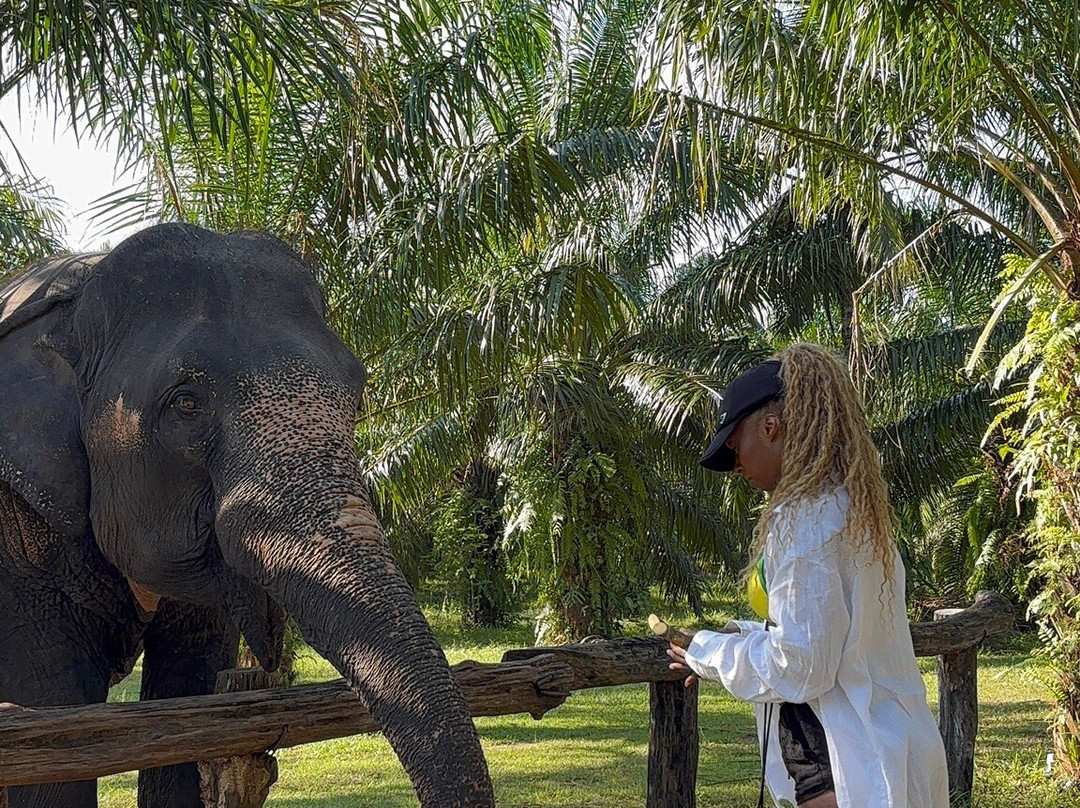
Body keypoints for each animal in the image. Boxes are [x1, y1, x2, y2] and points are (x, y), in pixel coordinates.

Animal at [0, 223, 495, 808]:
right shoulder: (18, 540)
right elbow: (56, 724)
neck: (78, 289)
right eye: (186, 403)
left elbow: (188, 701)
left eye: (356, 398)